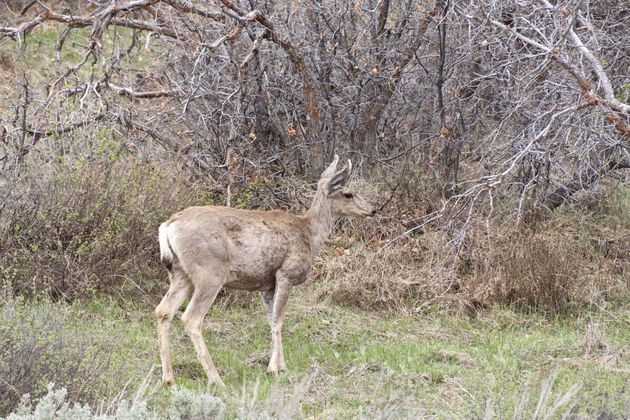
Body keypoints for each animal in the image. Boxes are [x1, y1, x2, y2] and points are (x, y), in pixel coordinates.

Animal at [156, 155, 378, 388]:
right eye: (348, 193)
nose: (373, 210)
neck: (309, 234)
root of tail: (167, 226)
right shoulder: (286, 273)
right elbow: (279, 320)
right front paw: (275, 368)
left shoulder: (266, 284)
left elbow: (271, 320)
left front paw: (280, 365)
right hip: (209, 272)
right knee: (191, 318)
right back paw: (215, 378)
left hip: (180, 274)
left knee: (163, 311)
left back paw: (168, 378)